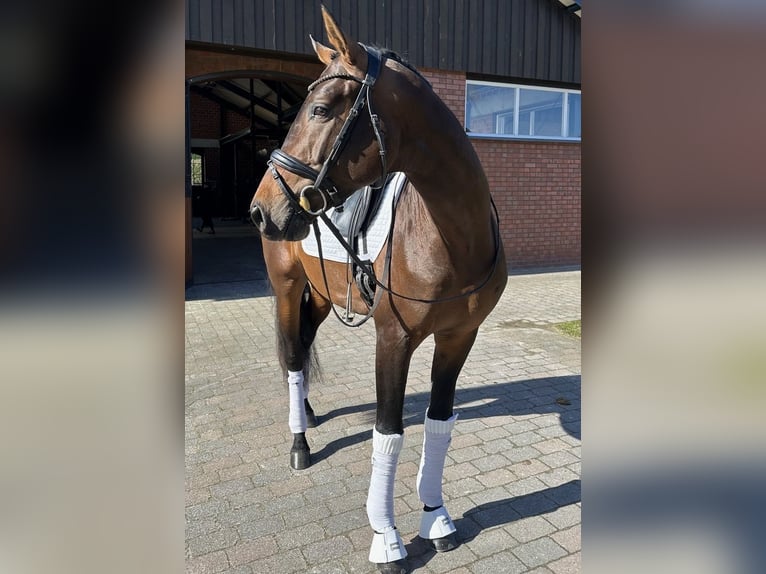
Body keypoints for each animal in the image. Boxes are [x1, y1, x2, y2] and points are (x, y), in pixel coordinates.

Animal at [249, 6, 507, 573]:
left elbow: (438, 423)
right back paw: (300, 441)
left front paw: (435, 517)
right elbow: (388, 433)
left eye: (321, 109)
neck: (449, 237)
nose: (260, 209)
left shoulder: (460, 337)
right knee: (294, 359)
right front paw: (386, 538)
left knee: (303, 344)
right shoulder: (394, 339)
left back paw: (309, 414)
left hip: (323, 297)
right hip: (287, 290)